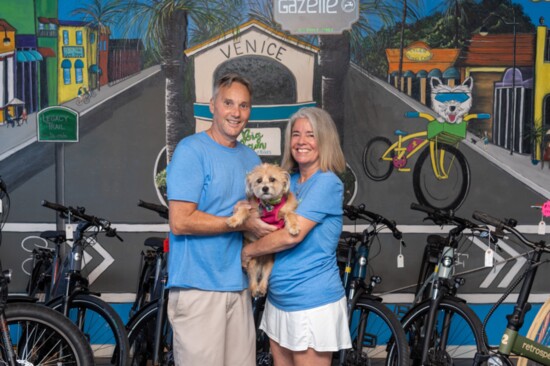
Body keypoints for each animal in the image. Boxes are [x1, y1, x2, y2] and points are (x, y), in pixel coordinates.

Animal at [226, 163, 300, 298]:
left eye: (272, 179)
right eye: (259, 180)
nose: (265, 188)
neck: (270, 205)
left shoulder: (285, 213)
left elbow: (290, 213)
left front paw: (293, 226)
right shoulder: (252, 209)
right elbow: (244, 209)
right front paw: (234, 219)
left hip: (269, 264)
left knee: (265, 277)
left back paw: (261, 288)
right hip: (252, 262)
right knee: (253, 279)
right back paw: (255, 289)